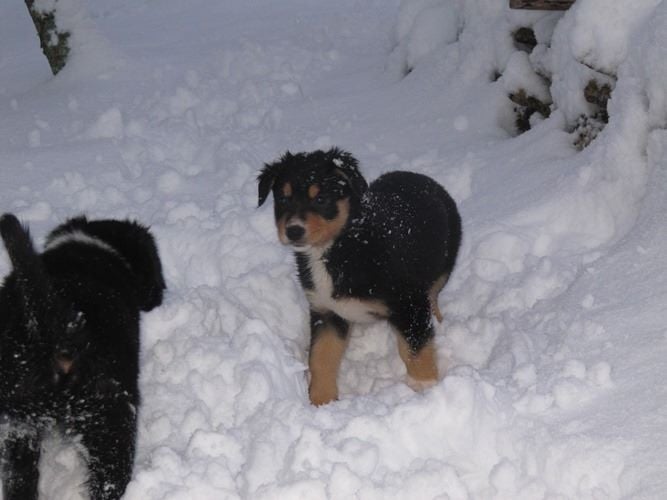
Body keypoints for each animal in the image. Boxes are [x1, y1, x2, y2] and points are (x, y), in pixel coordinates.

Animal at [258, 148, 462, 406]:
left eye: (321, 199)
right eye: (283, 199)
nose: (293, 230)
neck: (339, 248)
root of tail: (419, 176)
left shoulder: (409, 302)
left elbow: (416, 347)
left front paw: (425, 387)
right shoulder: (326, 311)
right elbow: (320, 357)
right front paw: (321, 402)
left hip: (444, 264)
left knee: (433, 296)